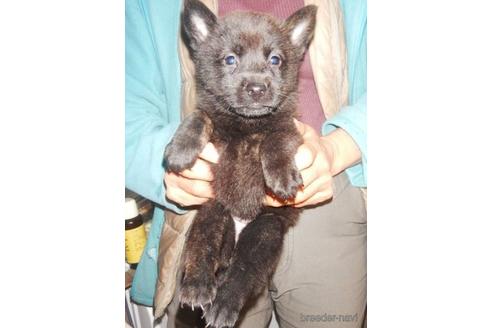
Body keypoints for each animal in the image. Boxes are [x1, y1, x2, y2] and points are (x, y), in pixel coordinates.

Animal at [163, 1, 318, 326]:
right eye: (230, 59)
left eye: (275, 60)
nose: (257, 88)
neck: (247, 125)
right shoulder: (212, 120)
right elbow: (199, 116)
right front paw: (180, 149)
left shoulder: (290, 129)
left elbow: (274, 140)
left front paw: (282, 176)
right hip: (211, 214)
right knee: (202, 251)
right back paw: (196, 288)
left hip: (264, 232)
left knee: (243, 273)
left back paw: (223, 305)